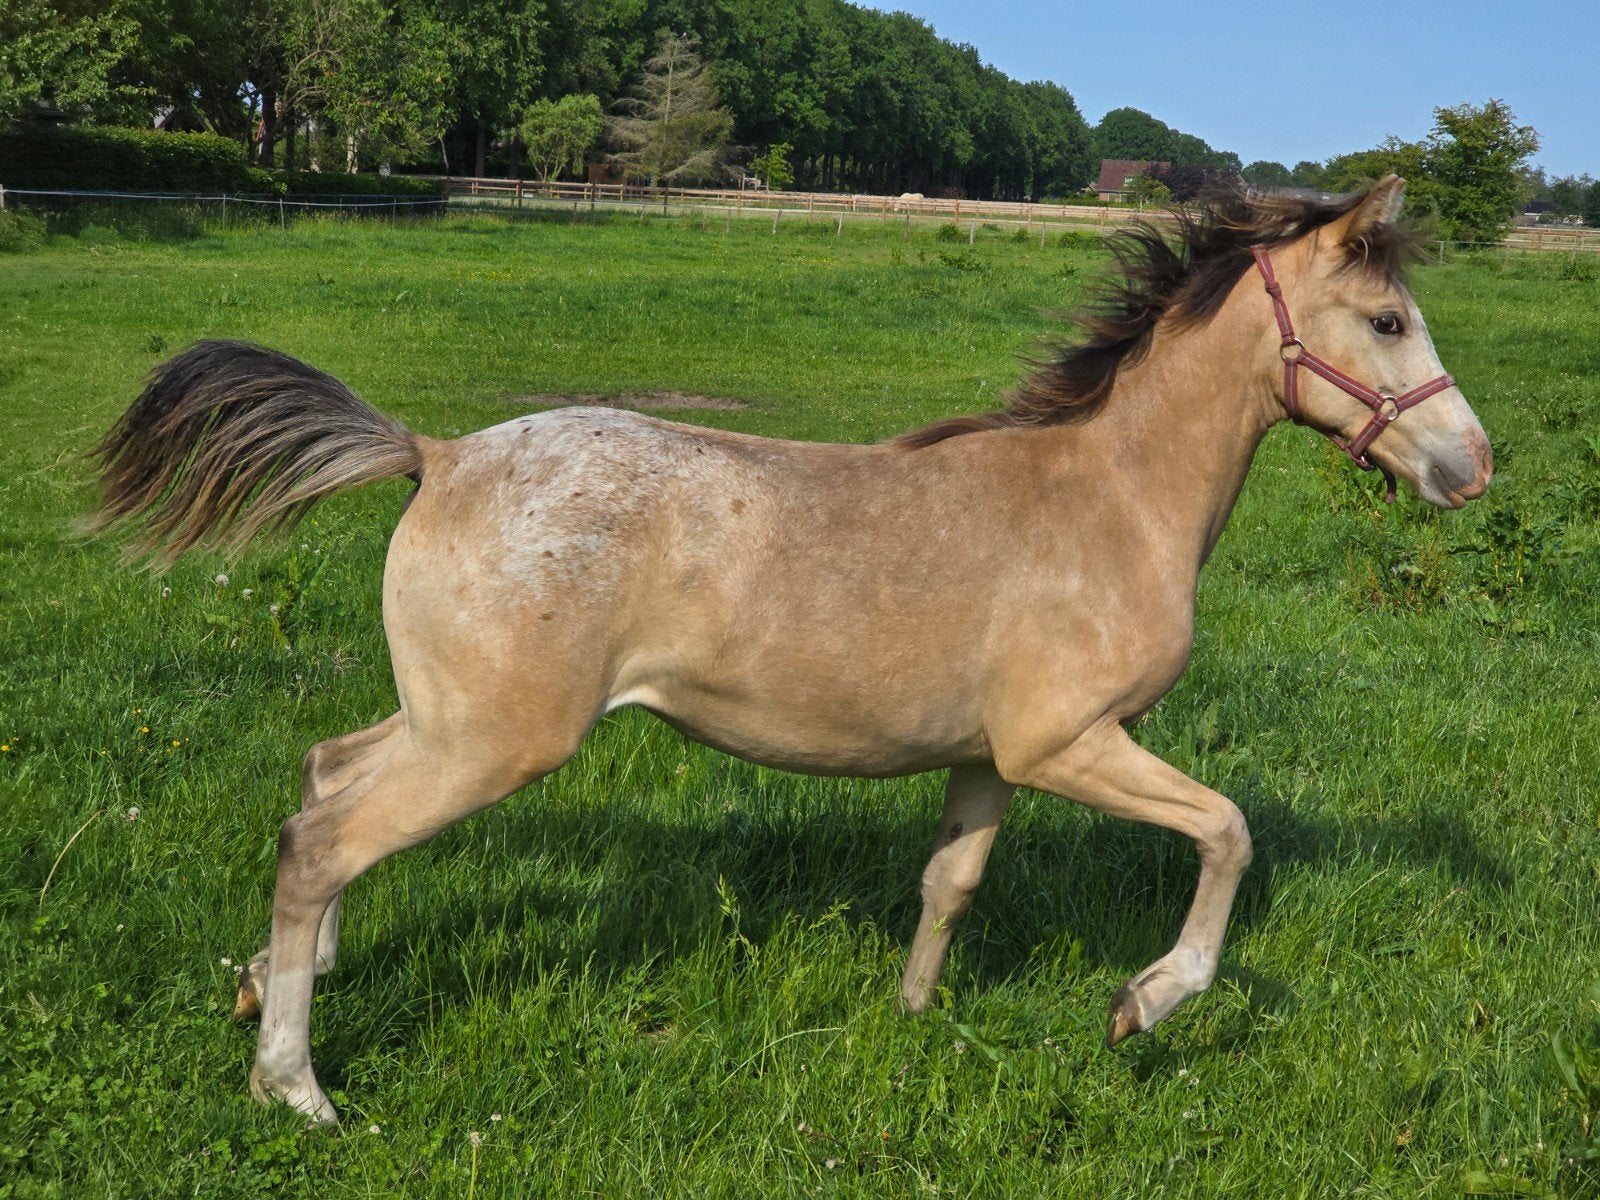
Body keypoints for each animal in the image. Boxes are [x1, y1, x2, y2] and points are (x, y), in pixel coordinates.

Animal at [89, 176, 1491, 1124]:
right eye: (1384, 320)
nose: (1471, 467)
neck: (1107, 497)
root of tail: (435, 454)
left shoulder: (989, 759)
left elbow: (950, 886)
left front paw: (915, 1025)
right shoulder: (1070, 745)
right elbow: (1227, 833)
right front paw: (1142, 1003)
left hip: (446, 720)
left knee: (323, 782)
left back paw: (263, 986)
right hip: (494, 743)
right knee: (327, 841)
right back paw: (296, 1086)